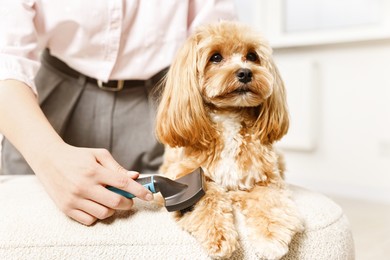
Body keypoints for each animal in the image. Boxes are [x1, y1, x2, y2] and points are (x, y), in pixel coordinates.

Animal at [154, 21, 304, 258]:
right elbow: (207, 197)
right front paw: (218, 235)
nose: (245, 72)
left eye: (252, 56)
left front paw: (270, 239)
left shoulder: (268, 180)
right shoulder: (183, 174)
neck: (229, 116)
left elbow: (270, 203)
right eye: (215, 57)